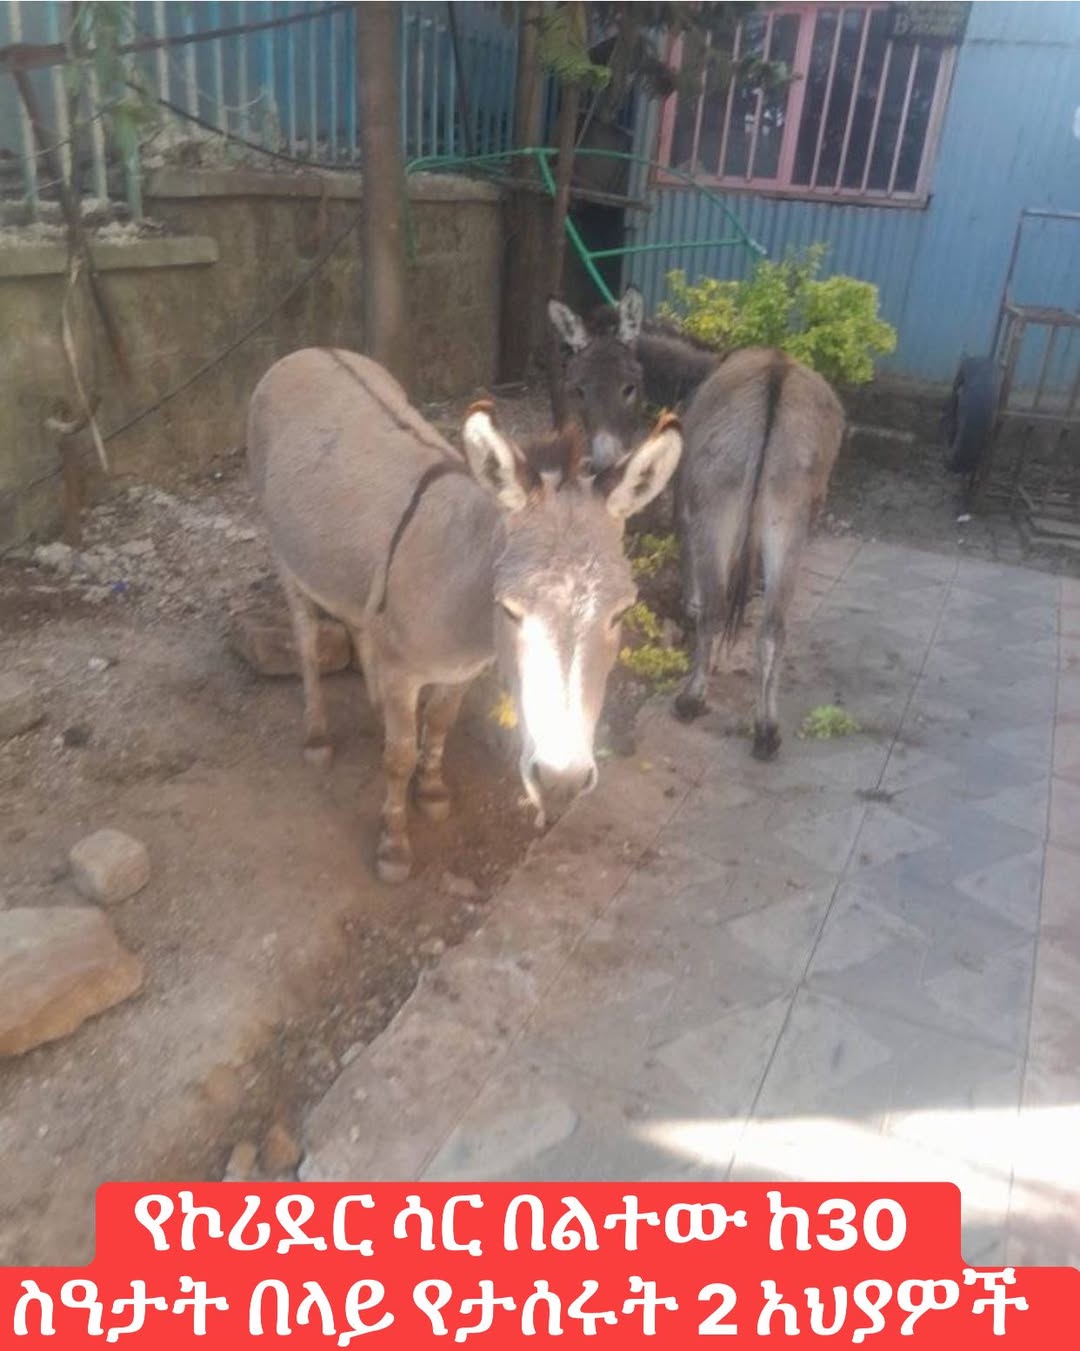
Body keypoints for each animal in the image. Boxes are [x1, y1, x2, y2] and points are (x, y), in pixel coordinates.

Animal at [246, 347, 683, 882]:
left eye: (620, 614)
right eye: (511, 609)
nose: (560, 782)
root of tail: (304, 352)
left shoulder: (463, 669)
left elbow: (439, 724)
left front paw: (432, 791)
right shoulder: (408, 671)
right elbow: (398, 756)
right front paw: (394, 846)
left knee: (360, 625)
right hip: (286, 557)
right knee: (307, 643)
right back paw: (317, 737)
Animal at [549, 287, 846, 760]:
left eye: (630, 388)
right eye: (579, 389)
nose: (607, 466)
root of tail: (775, 380)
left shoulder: (688, 507)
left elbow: (694, 590)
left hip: (716, 513)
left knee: (716, 607)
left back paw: (692, 699)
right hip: (790, 516)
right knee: (774, 625)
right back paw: (766, 729)